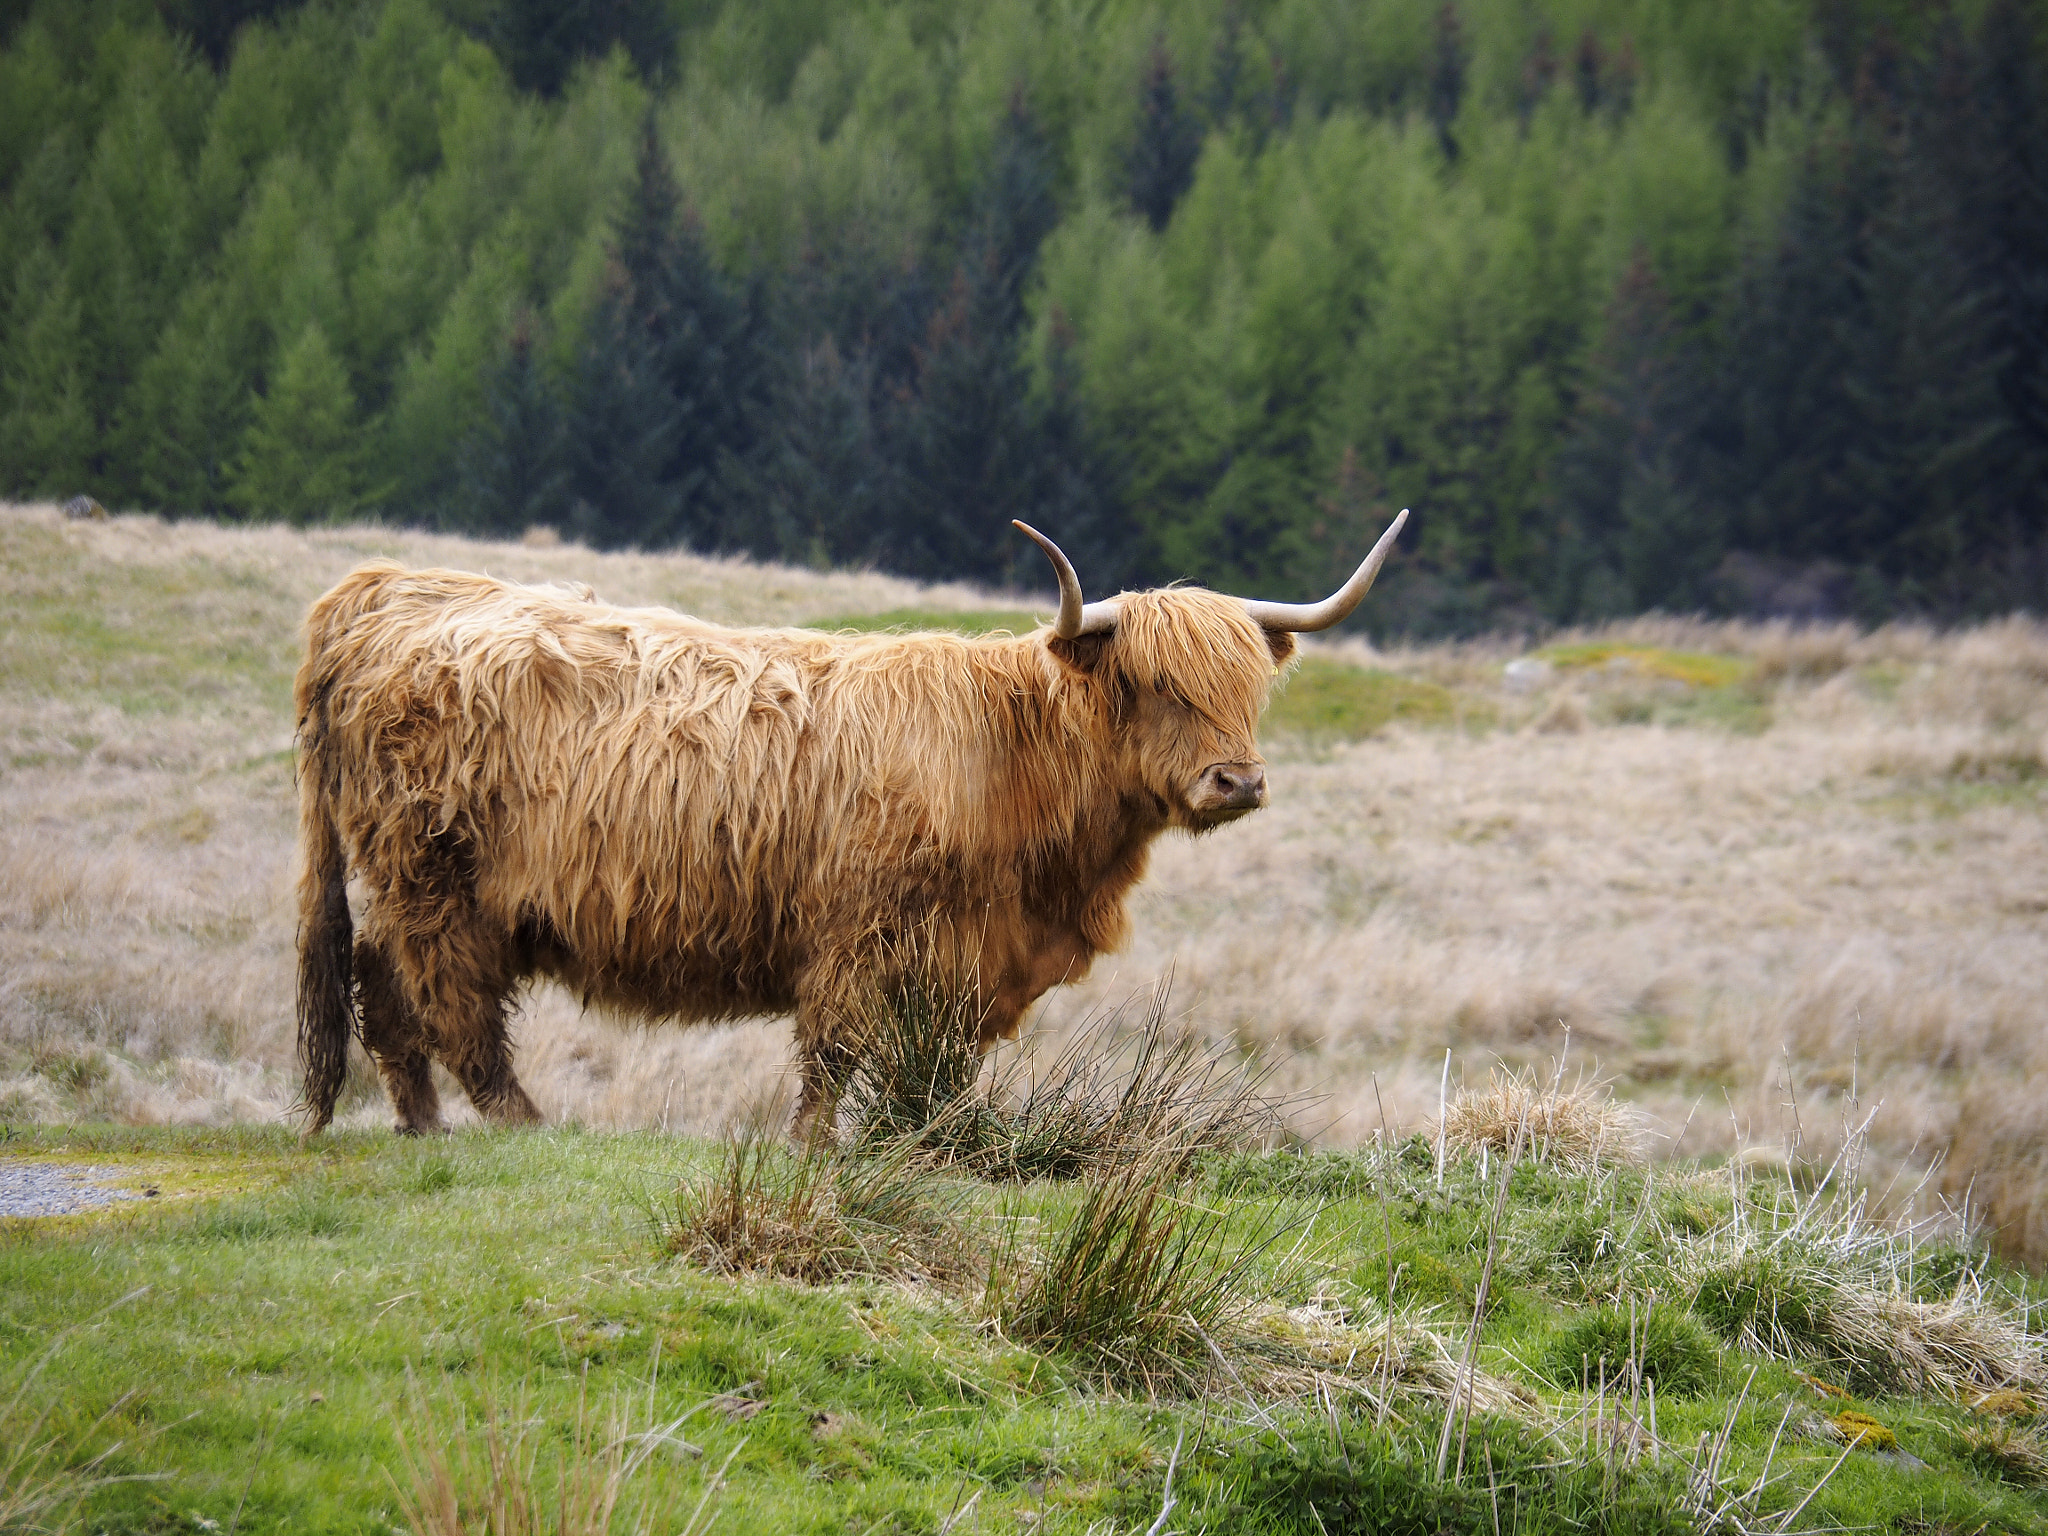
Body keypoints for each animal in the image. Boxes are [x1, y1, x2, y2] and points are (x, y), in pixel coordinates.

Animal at [293, 514, 1408, 1137]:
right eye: (1155, 685)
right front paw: (812, 1145)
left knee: (382, 989)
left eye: (1249, 689)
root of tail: (387, 591)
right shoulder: (858, 929)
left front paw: (922, 1140)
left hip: (403, 883)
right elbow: (832, 1051)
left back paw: (421, 1127)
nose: (1237, 780)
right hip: (440, 881)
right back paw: (523, 1125)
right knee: (450, 1004)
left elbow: (937, 1070)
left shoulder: (971, 963)